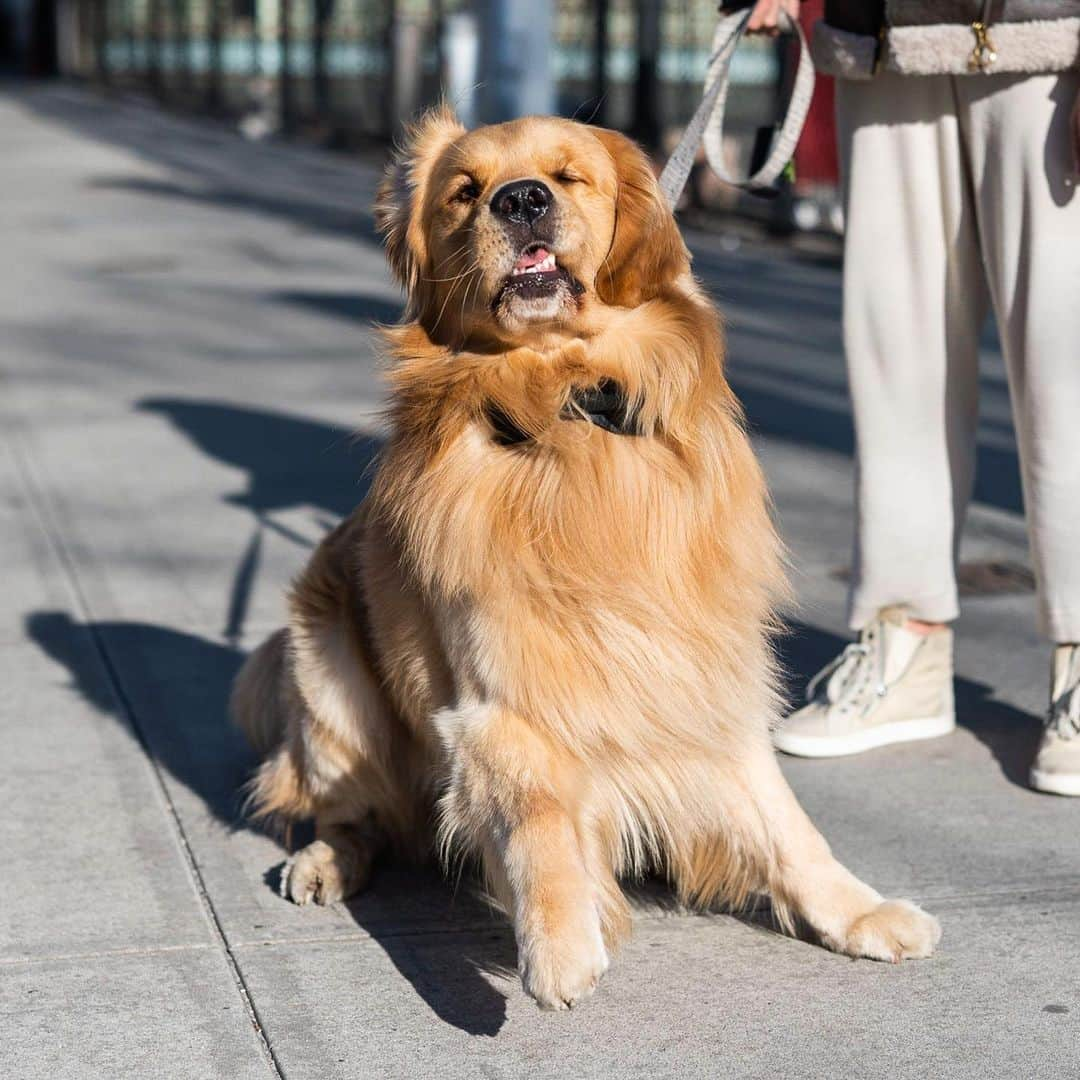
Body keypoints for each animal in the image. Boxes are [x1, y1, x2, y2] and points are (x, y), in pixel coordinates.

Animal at [232, 105, 941, 1006]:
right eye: (465, 192)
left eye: (569, 176)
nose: (520, 200)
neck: (566, 410)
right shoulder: (498, 698)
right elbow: (536, 813)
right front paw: (561, 943)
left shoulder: (703, 673)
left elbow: (786, 823)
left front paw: (857, 911)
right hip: (327, 677)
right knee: (346, 812)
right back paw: (324, 861)